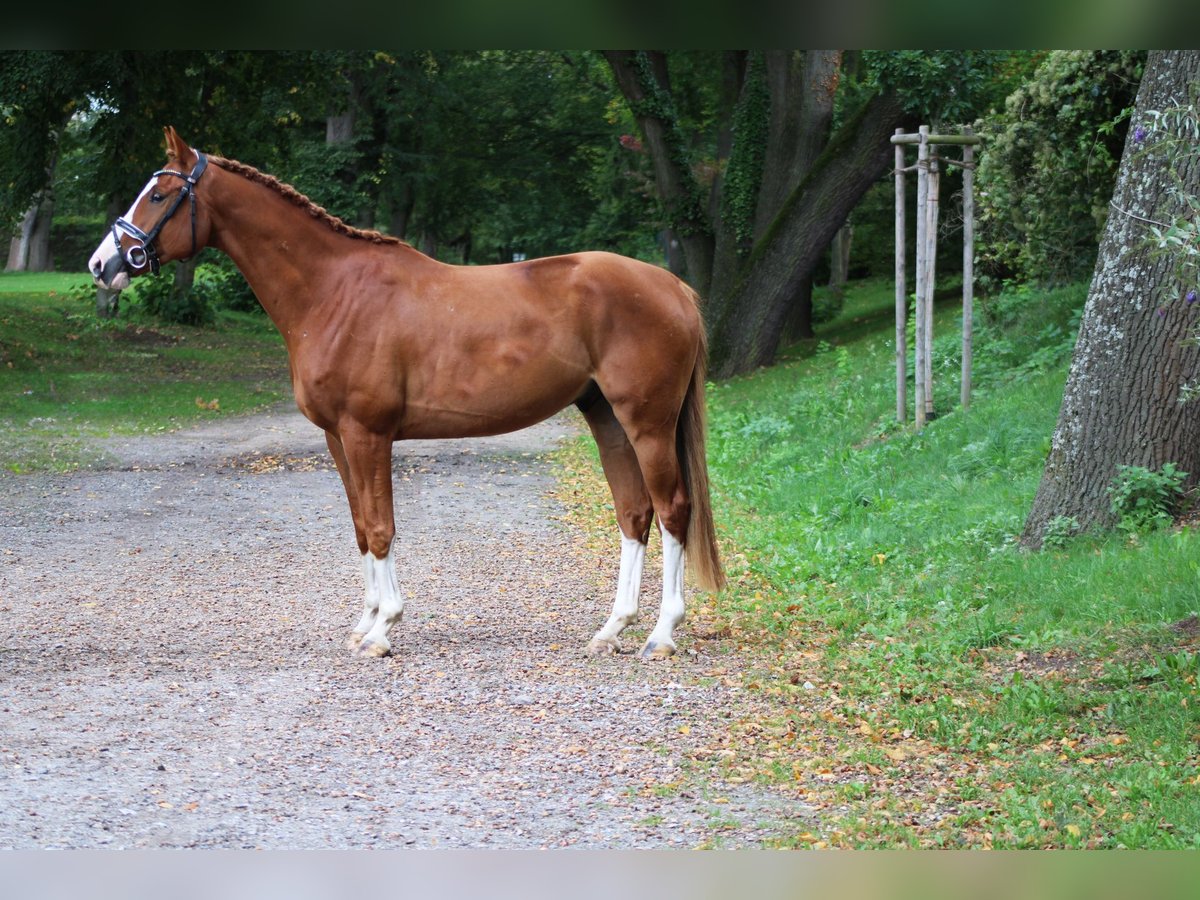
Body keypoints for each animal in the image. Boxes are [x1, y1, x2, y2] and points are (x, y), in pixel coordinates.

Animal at [88, 127, 720, 657]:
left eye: (158, 194)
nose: (102, 263)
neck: (333, 291)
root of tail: (675, 287)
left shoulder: (368, 434)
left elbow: (381, 525)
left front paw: (383, 630)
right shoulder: (338, 439)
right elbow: (360, 527)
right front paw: (366, 622)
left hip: (647, 423)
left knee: (672, 510)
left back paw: (662, 635)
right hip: (605, 416)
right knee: (634, 513)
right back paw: (611, 629)